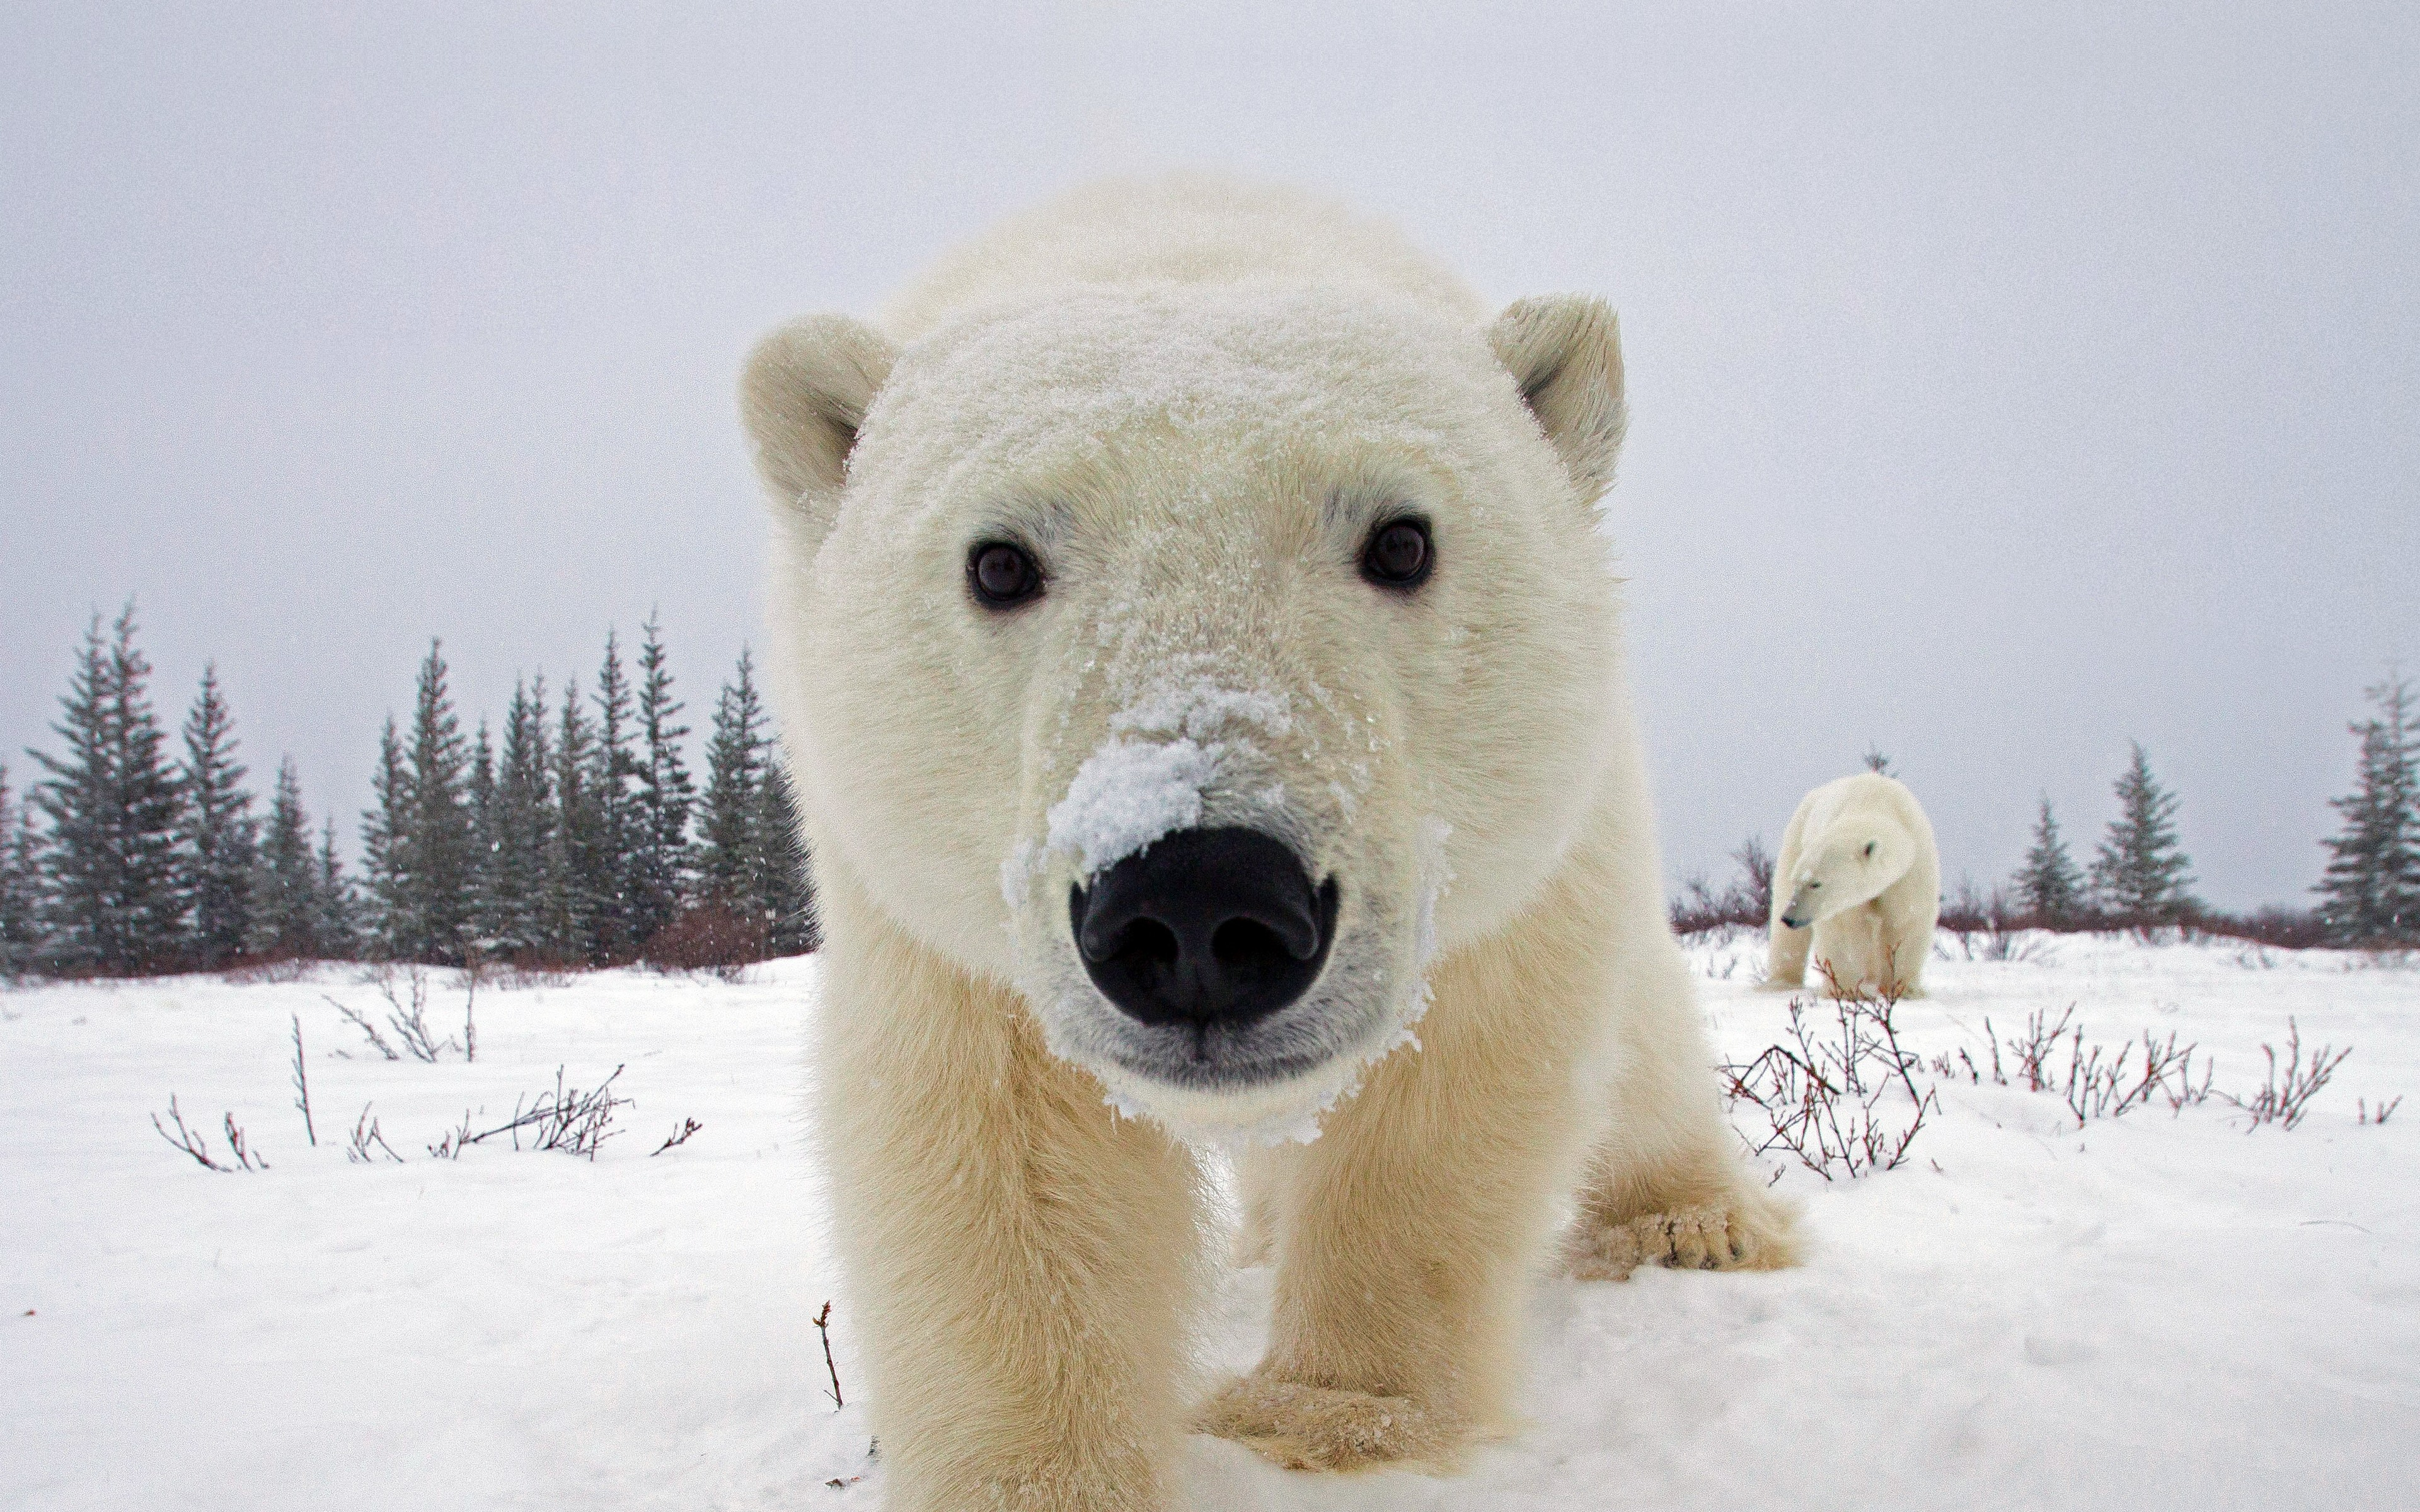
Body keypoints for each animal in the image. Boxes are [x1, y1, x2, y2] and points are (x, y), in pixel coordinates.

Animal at [740, 180, 1800, 1509]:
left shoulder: (1504, 870)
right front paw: (1044, 1475)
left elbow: (1450, 1090)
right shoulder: (930, 909)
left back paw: (1690, 1223)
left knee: (1644, 1040)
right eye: (997, 561)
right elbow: (998, 1153)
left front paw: (1323, 1416)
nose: (1200, 903)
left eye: (1403, 540)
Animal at [1771, 774, 1936, 997]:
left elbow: (1906, 920)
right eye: (1798, 881)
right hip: (1796, 835)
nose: (1789, 918)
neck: (1875, 802)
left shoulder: (1912, 870)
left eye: (1816, 884)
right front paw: (1845, 991)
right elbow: (1845, 933)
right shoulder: (1844, 901)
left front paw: (1902, 991)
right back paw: (1781, 982)